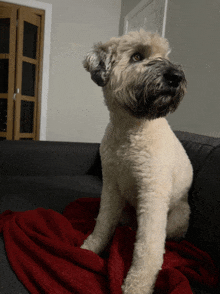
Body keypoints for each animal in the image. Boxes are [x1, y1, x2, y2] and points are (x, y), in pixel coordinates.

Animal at [81, 29, 192, 294]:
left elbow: (148, 247)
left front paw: (137, 284)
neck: (130, 131)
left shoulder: (152, 195)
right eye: (137, 56)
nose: (176, 77)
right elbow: (103, 223)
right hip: (124, 208)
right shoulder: (111, 187)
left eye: (165, 56)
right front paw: (92, 247)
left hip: (177, 217)